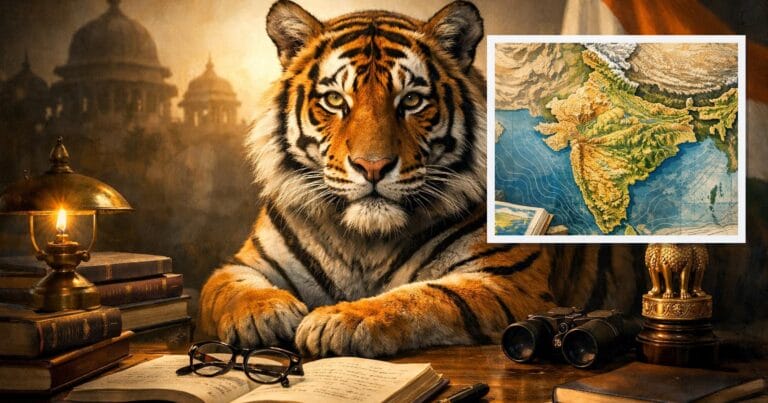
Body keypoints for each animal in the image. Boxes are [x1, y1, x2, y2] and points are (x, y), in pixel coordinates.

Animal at [199, 0, 628, 358]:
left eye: (411, 100)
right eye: (335, 100)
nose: (372, 166)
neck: (363, 243)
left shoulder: (506, 279)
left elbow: (422, 297)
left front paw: (339, 319)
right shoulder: (244, 263)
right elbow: (226, 288)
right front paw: (267, 312)